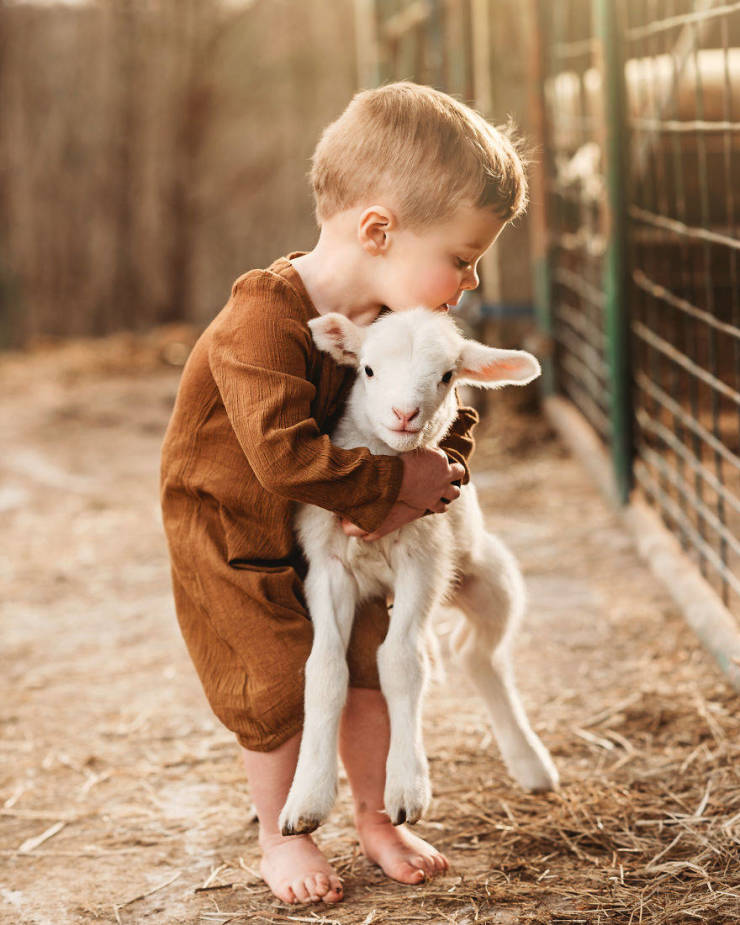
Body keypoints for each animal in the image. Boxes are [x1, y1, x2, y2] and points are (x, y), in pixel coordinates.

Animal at [280, 306, 556, 832]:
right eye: (367, 370)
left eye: (447, 377)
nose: (404, 415)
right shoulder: (328, 564)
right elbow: (325, 668)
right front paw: (306, 799)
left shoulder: (424, 559)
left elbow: (402, 662)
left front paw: (407, 789)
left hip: (491, 578)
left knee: (478, 654)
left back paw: (532, 764)